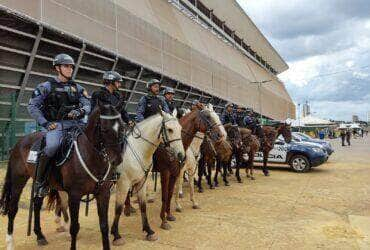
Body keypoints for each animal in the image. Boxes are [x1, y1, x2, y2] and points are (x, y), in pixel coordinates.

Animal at [0, 103, 125, 250]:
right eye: (105, 129)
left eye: (122, 128)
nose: (117, 160)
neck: (90, 156)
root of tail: (19, 142)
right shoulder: (74, 196)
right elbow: (74, 227)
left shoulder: (103, 194)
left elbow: (104, 226)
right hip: (18, 180)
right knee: (13, 208)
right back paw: (10, 242)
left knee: (36, 204)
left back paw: (40, 236)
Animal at [109, 110, 185, 246]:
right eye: (170, 129)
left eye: (180, 128)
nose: (181, 155)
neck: (139, 149)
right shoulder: (123, 183)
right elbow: (118, 208)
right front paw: (116, 235)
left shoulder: (141, 182)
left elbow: (143, 206)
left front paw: (149, 231)